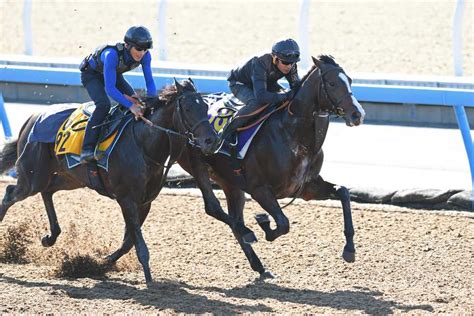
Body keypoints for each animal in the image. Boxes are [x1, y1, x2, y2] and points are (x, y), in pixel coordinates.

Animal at [0, 79, 218, 282]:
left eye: (205, 107)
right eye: (188, 108)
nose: (212, 141)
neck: (143, 144)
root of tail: (33, 117)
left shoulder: (145, 201)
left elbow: (129, 242)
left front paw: (102, 262)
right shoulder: (126, 199)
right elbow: (138, 243)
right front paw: (148, 279)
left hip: (70, 177)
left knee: (47, 190)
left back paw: (51, 237)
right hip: (33, 175)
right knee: (11, 193)